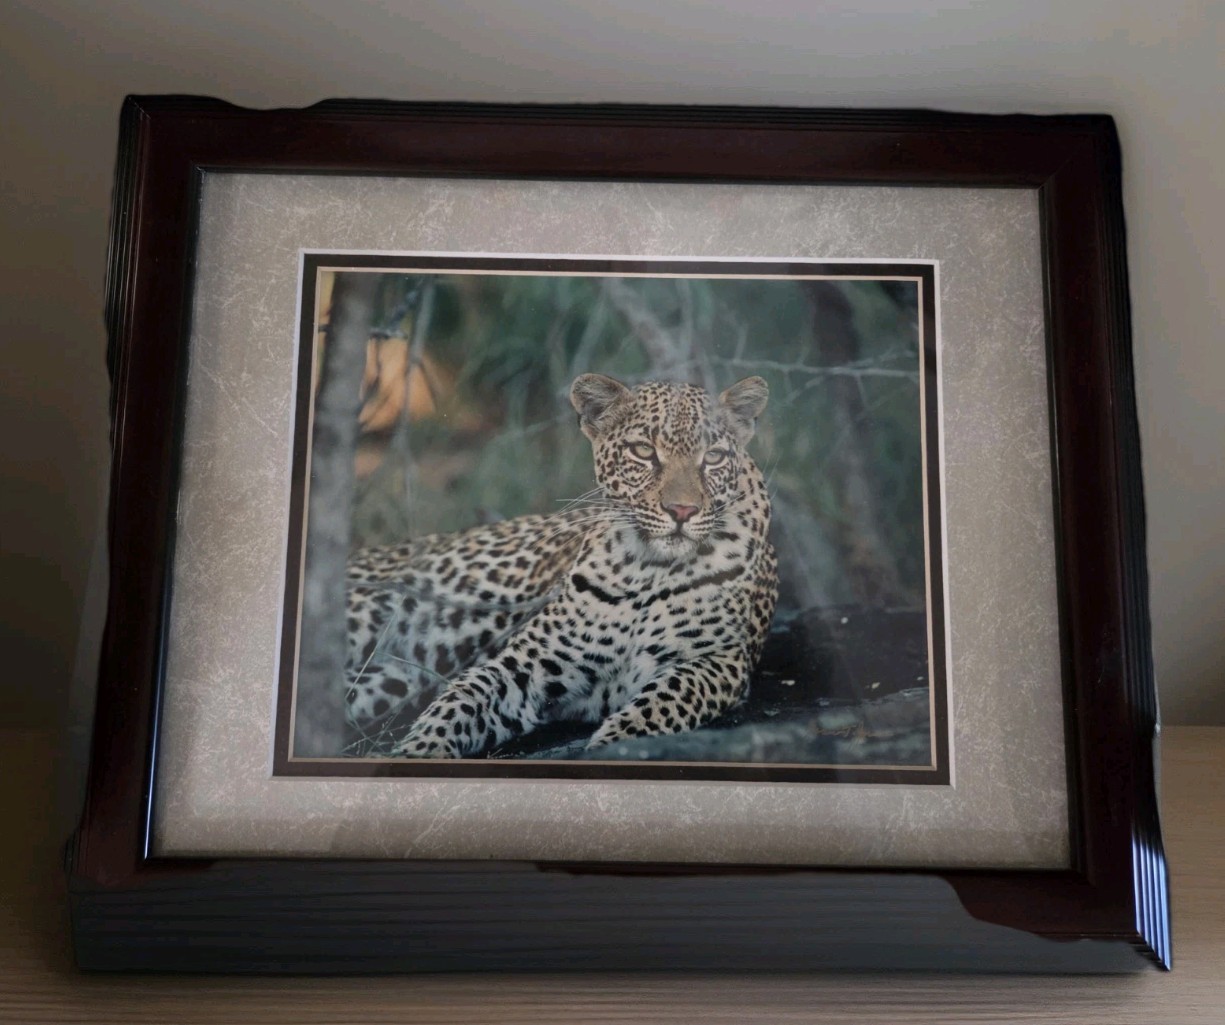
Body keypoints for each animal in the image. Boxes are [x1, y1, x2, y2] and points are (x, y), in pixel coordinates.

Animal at [342, 372, 779, 759]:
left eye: (714, 457)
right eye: (644, 451)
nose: (682, 511)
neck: (648, 567)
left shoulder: (717, 660)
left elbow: (661, 703)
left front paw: (610, 745)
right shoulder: (525, 663)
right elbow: (461, 699)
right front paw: (420, 749)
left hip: (387, 682)